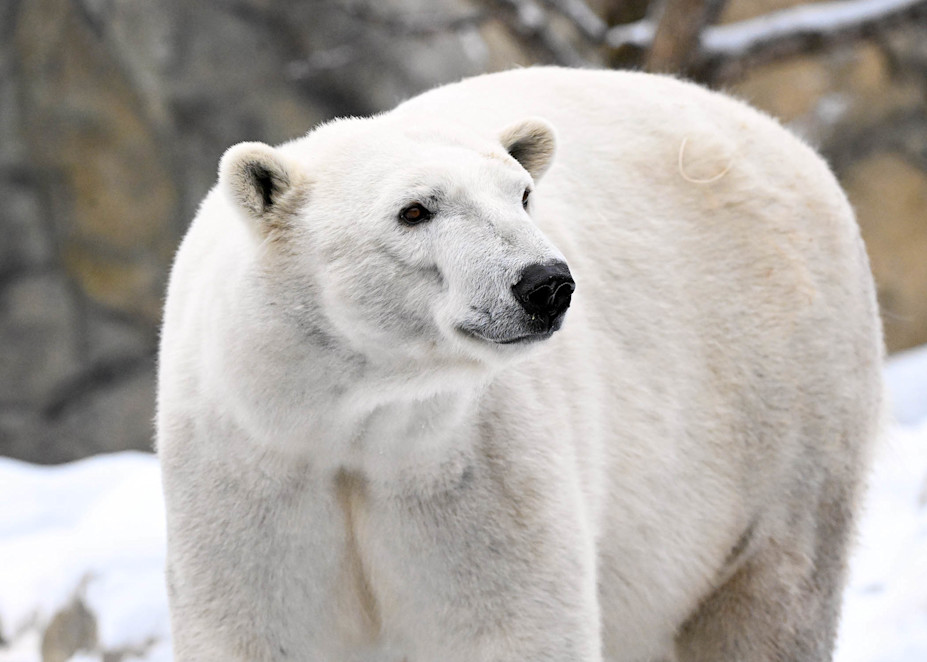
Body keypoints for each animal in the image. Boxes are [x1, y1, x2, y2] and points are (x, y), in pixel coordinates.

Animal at [157, 67, 884, 662]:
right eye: (414, 210)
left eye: (524, 194)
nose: (545, 283)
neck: (351, 419)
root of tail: (788, 142)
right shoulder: (253, 478)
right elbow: (251, 627)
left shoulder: (474, 471)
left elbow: (509, 625)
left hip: (783, 416)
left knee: (772, 595)